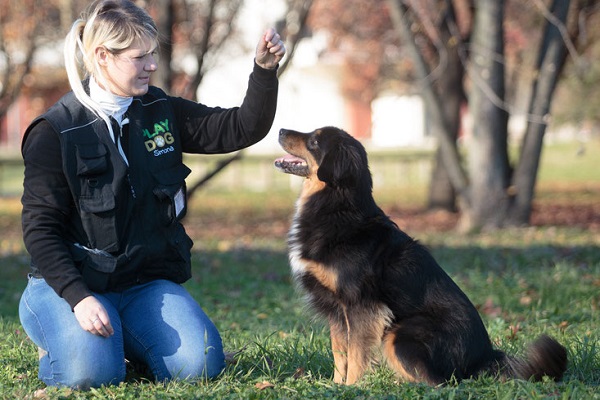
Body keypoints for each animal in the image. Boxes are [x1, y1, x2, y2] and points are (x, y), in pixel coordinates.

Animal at [274, 126, 568, 386]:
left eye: (314, 141)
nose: (280, 130)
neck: (337, 207)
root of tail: (483, 358)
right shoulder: (337, 310)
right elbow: (340, 353)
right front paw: (335, 385)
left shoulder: (360, 306)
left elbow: (357, 354)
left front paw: (352, 387)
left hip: (400, 335)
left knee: (438, 383)